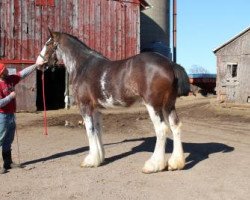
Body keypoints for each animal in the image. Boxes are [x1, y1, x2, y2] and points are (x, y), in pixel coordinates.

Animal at [36, 30, 189, 173]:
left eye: (48, 44)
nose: (38, 64)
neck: (83, 66)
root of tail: (170, 64)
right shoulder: (96, 110)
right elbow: (98, 131)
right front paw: (99, 158)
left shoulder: (85, 107)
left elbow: (90, 131)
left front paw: (90, 161)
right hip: (168, 105)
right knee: (175, 126)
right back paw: (175, 163)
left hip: (154, 105)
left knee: (161, 129)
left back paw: (153, 165)